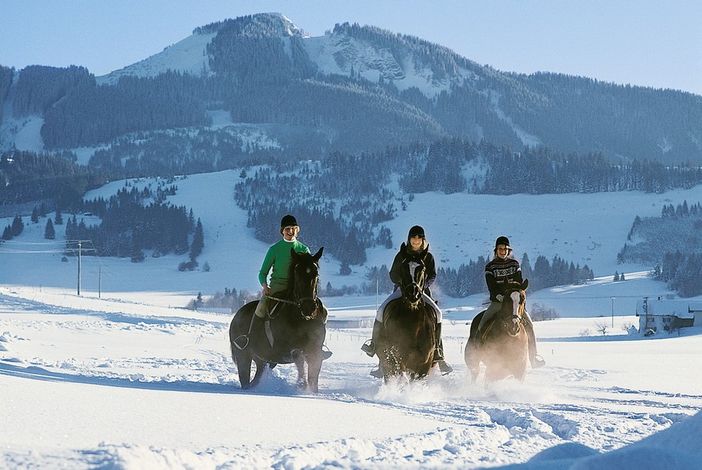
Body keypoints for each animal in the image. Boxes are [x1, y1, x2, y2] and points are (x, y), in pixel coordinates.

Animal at [231, 246, 330, 392]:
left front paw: (311, 391)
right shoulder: (286, 349)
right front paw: (301, 385)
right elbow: (298, 356)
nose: (309, 308)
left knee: (257, 376)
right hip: (243, 355)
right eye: (297, 273)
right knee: (245, 377)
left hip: (262, 360)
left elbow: (314, 373)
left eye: (316, 274)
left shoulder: (315, 349)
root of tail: (237, 315)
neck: (300, 318)